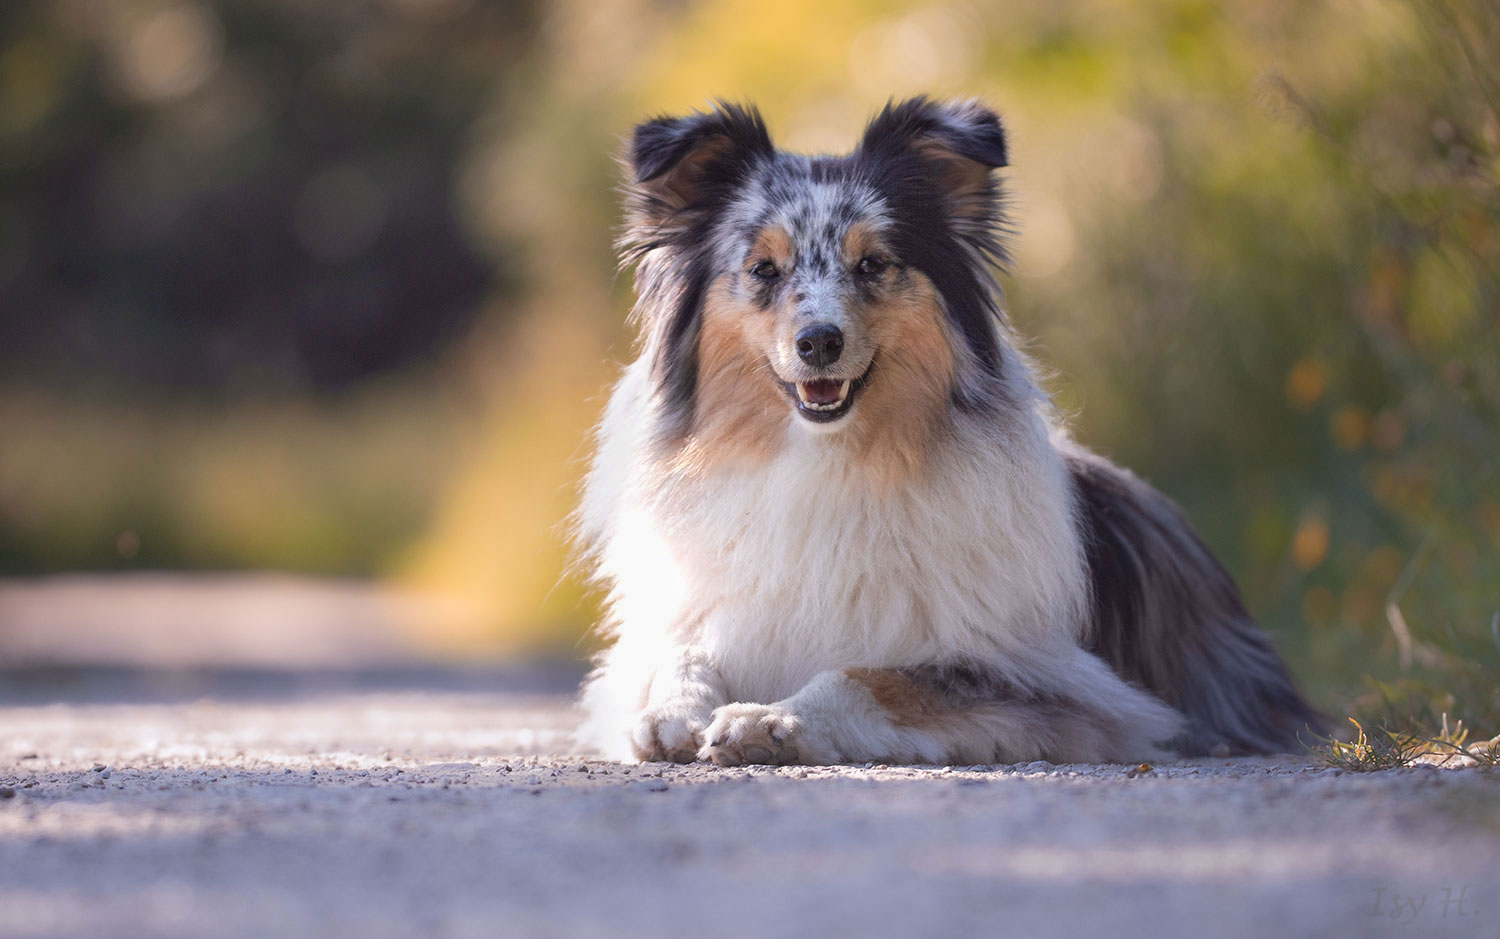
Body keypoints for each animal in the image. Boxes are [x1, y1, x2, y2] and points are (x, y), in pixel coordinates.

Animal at [573, 99, 1326, 765]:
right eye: (763, 269)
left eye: (873, 263)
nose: (819, 342)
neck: (829, 459)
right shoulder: (700, 615)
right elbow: (682, 651)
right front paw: (672, 710)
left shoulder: (1045, 679)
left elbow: (869, 675)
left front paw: (772, 719)